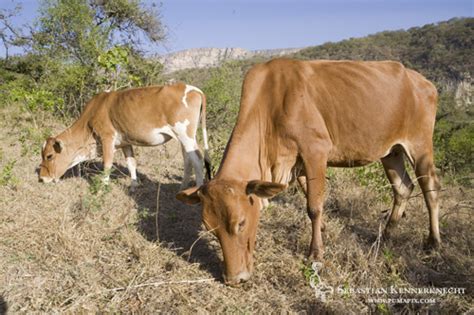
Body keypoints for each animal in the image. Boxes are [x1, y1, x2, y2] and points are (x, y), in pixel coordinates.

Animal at [39, 82, 210, 189]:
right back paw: (182, 188)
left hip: (185, 135)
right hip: (184, 138)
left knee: (197, 159)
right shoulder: (125, 142)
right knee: (187, 159)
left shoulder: (107, 138)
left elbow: (107, 165)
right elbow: (131, 163)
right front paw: (134, 185)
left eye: (49, 156)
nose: (41, 178)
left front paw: (103, 187)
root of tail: (194, 89)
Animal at [178, 58, 440, 288]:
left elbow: (313, 206)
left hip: (420, 145)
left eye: (241, 223)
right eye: (209, 228)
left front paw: (315, 253)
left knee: (431, 189)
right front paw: (323, 231)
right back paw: (386, 235)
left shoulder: (316, 151)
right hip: (391, 152)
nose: (234, 279)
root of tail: (424, 82)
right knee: (404, 187)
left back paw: (433, 242)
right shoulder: (298, 162)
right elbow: (309, 196)